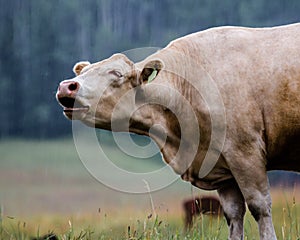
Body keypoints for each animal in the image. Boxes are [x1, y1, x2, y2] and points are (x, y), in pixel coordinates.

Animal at [56, 23, 300, 240]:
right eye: (83, 72)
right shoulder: (222, 167)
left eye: (116, 73)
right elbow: (233, 215)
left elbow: (260, 207)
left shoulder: (245, 150)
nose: (67, 85)